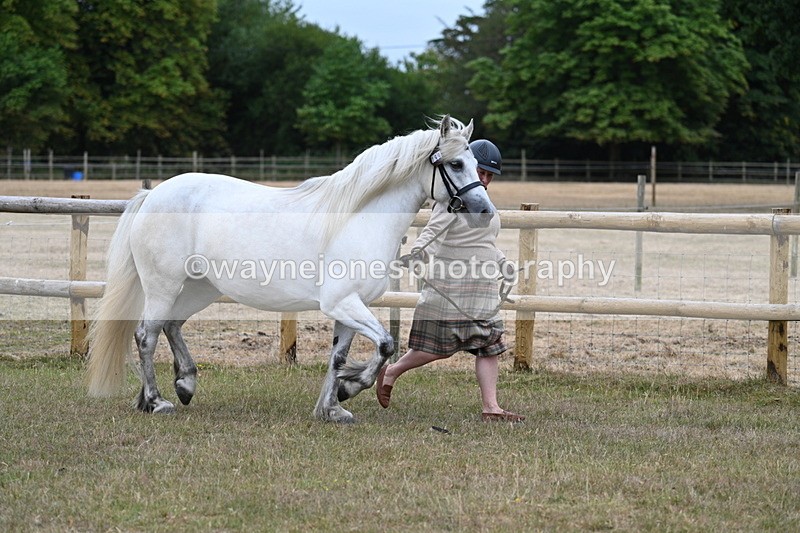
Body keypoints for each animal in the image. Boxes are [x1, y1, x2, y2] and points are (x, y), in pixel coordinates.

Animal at [85, 115, 495, 423]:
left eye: (476, 165)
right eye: (456, 164)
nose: (485, 211)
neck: (357, 218)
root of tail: (151, 194)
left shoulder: (350, 307)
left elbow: (339, 356)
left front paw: (332, 409)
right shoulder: (343, 303)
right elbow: (385, 344)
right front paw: (348, 389)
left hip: (200, 288)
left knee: (170, 325)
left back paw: (183, 385)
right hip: (164, 286)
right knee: (146, 335)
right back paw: (157, 401)